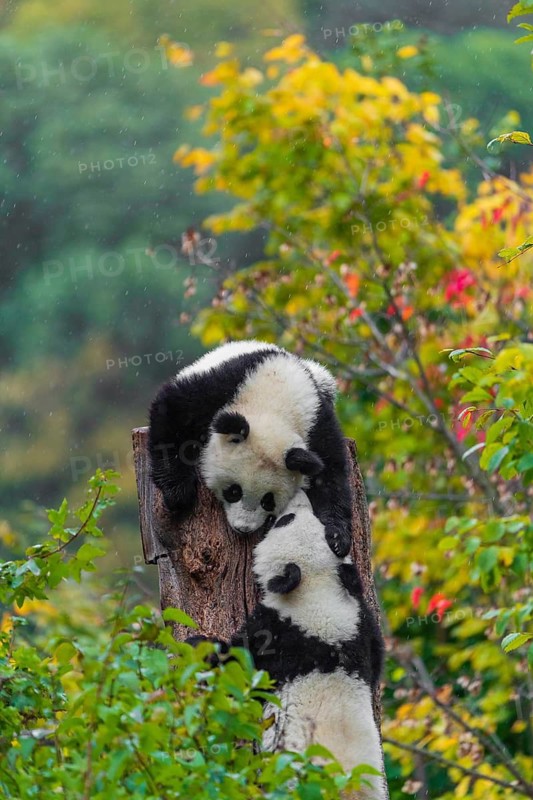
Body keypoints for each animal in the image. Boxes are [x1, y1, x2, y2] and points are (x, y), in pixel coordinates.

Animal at [149, 340, 353, 556]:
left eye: (268, 500)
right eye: (234, 492)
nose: (243, 528)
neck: (274, 403)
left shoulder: (316, 421)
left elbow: (330, 473)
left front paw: (337, 537)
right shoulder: (224, 388)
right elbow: (173, 411)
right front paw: (178, 492)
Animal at [199, 491, 386, 799]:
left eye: (285, 520)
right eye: (322, 523)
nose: (299, 495)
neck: (318, 592)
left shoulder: (278, 634)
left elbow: (240, 670)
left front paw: (203, 647)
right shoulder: (361, 627)